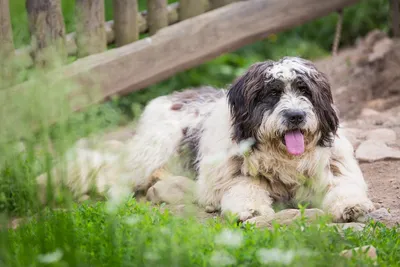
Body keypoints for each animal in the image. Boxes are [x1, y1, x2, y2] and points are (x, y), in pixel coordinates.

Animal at [36, 57, 376, 224]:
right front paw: (251, 210)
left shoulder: (333, 168)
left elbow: (343, 187)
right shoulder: (227, 178)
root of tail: (177, 95)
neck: (282, 159)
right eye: (272, 93)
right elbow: (245, 188)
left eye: (304, 90)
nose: (295, 115)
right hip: (156, 145)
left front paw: (351, 206)